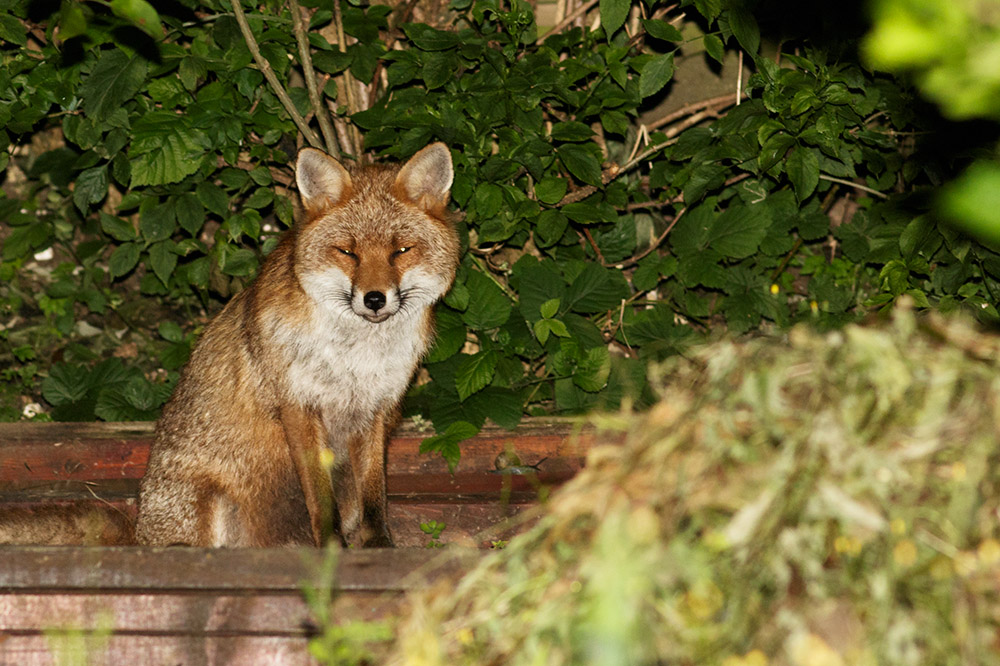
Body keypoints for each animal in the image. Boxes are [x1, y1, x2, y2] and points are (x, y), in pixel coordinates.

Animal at [134, 142, 460, 548]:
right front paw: (332, 548)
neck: (356, 360)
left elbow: (374, 493)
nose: (374, 299)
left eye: (401, 250)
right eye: (347, 252)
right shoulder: (299, 406)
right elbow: (320, 497)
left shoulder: (374, 411)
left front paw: (378, 546)